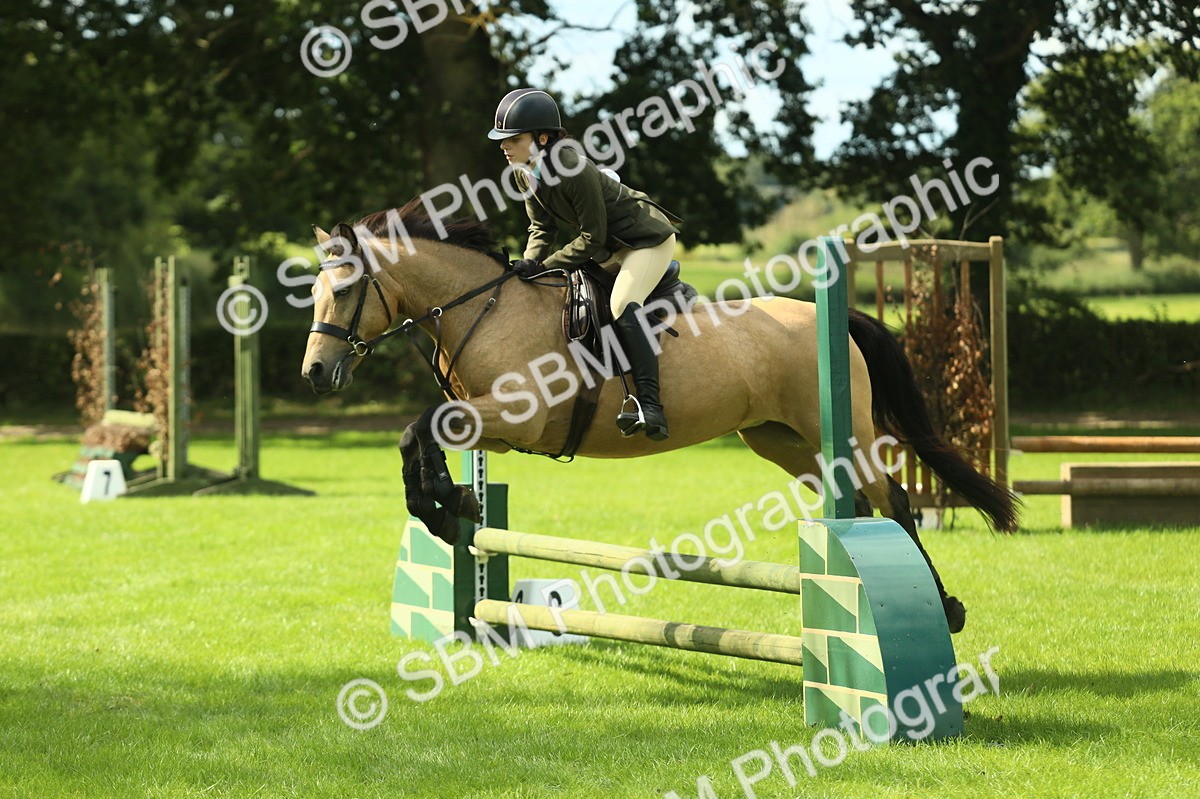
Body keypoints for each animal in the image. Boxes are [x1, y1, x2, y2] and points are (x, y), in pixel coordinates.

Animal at [301, 200, 1019, 633]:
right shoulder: (489, 425)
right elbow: (416, 434)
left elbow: (418, 426)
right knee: (865, 502)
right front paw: (452, 508)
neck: (485, 307)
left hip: (839, 435)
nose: (314, 373)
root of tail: (832, 319)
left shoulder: (515, 417)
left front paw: (448, 506)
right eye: (312, 289)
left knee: (894, 498)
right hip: (782, 441)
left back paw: (946, 608)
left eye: (345, 288)